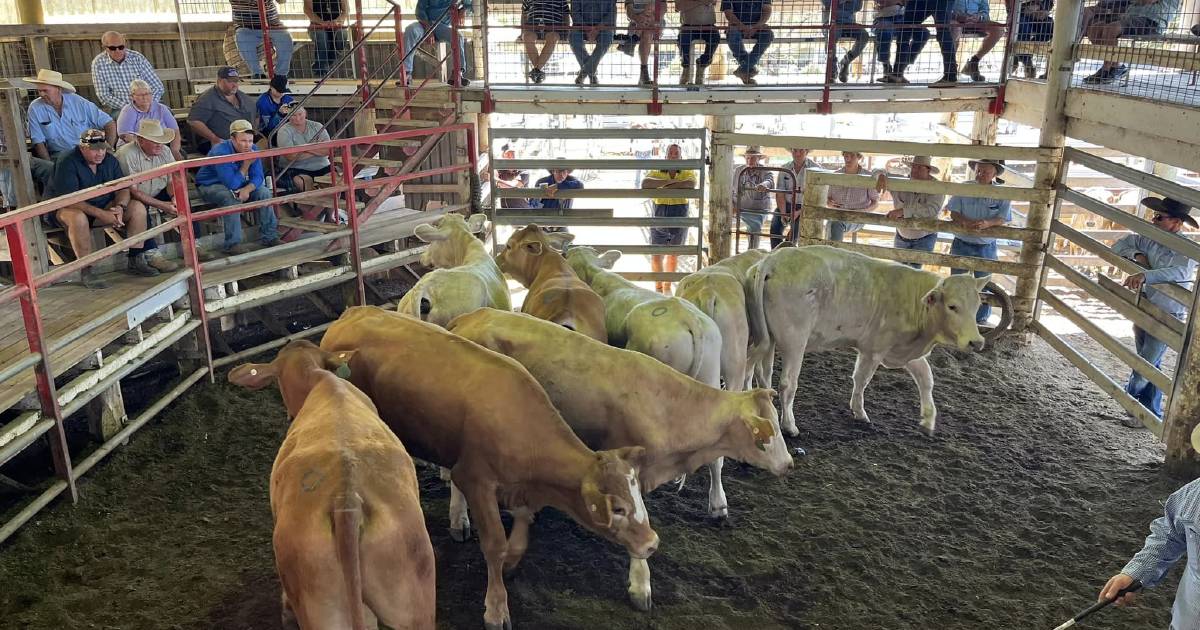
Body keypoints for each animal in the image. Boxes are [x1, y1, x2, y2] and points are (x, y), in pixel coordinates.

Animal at [321, 306, 657, 628]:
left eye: (638, 497)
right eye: (617, 508)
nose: (652, 544)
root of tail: (355, 312)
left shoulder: (518, 487)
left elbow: (519, 534)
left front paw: (510, 562)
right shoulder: (476, 480)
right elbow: (495, 544)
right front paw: (496, 608)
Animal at [446, 307, 792, 612]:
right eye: (766, 434)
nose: (789, 464)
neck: (668, 406)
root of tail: (471, 316)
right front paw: (640, 586)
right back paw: (459, 518)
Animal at [748, 246, 984, 436]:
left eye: (978, 305)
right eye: (952, 306)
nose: (977, 342)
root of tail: (773, 260)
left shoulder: (902, 349)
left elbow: (926, 378)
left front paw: (928, 420)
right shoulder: (874, 349)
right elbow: (861, 379)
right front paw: (860, 412)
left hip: (766, 338)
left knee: (760, 372)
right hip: (794, 340)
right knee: (787, 382)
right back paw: (789, 425)